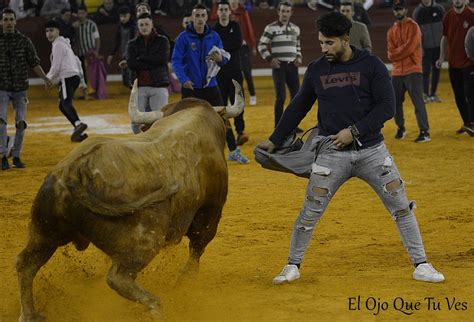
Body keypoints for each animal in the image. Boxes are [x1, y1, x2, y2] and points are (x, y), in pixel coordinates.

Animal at [14, 80, 244, 320]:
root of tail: (74, 170)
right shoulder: (211, 212)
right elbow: (197, 250)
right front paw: (184, 283)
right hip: (145, 241)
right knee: (118, 277)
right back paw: (156, 307)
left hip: (44, 233)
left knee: (25, 264)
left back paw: (30, 314)